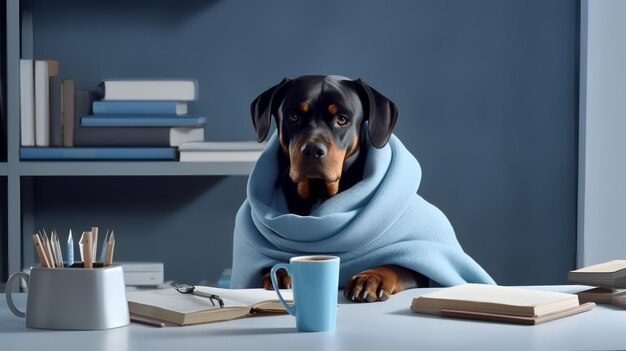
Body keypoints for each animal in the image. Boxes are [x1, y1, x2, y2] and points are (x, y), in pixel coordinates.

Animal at [249, 75, 428, 302]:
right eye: (293, 117)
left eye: (342, 119)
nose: (312, 150)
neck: (318, 192)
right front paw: (280, 272)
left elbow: (396, 265)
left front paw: (370, 278)